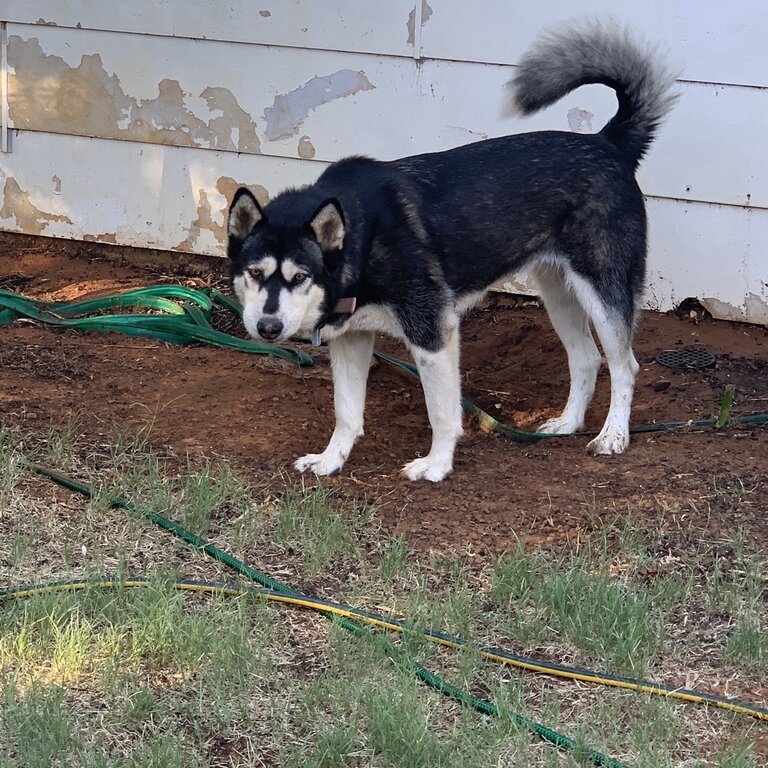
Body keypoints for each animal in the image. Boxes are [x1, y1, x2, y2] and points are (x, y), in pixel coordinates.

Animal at [228, 22, 680, 480]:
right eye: (254, 273)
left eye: (300, 276)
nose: (267, 328)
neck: (362, 235)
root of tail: (608, 144)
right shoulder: (352, 338)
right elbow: (346, 413)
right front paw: (330, 459)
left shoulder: (433, 333)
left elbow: (442, 413)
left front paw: (437, 464)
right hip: (559, 294)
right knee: (586, 359)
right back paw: (568, 423)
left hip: (603, 292)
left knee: (624, 366)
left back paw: (613, 435)